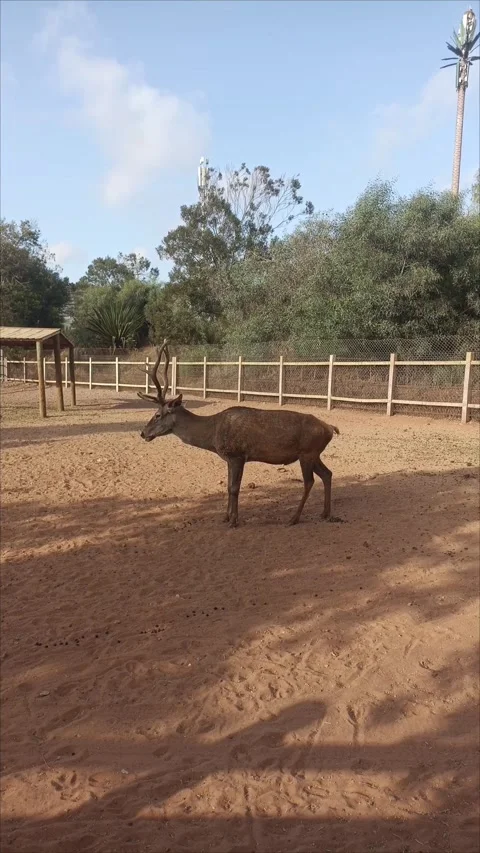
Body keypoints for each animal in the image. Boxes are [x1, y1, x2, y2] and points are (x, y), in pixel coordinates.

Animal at [138, 341, 340, 528]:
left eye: (157, 414)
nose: (143, 432)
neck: (213, 435)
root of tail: (330, 428)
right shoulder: (229, 458)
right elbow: (228, 487)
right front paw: (225, 517)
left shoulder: (237, 455)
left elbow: (234, 488)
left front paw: (234, 520)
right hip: (314, 454)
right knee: (327, 474)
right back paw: (325, 513)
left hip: (307, 453)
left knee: (309, 481)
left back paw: (294, 518)